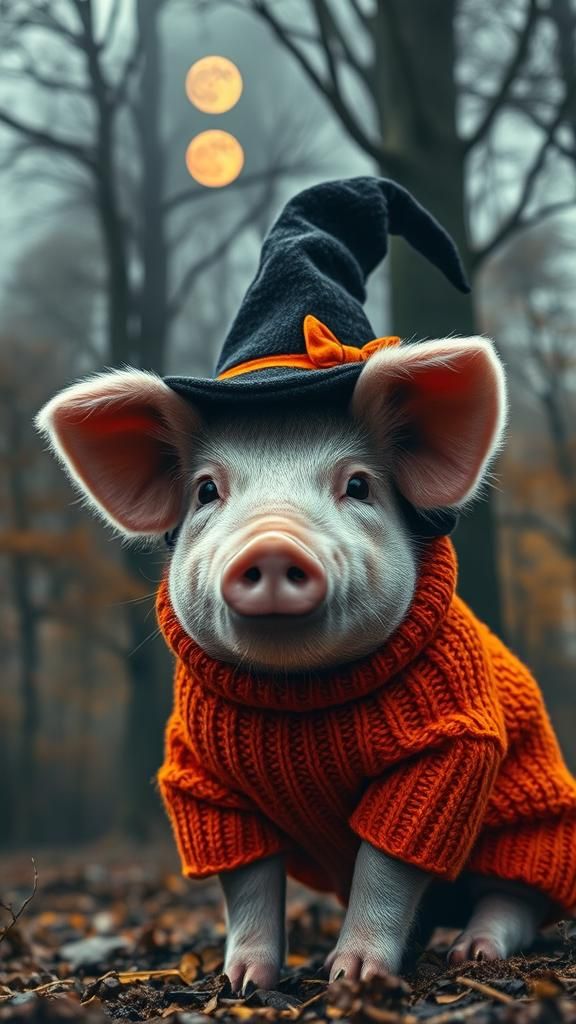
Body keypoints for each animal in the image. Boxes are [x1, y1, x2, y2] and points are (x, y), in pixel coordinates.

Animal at [35, 335, 559, 995]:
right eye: (206, 491)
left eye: (358, 485)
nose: (272, 544)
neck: (299, 691)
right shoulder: (199, 778)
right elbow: (248, 882)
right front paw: (242, 983)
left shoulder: (452, 749)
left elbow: (386, 865)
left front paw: (353, 979)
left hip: (533, 834)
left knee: (514, 899)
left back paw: (472, 954)